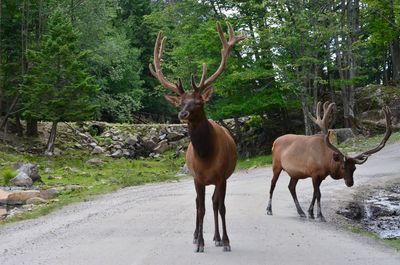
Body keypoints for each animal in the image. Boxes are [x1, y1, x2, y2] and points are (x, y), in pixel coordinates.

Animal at [149, 21, 244, 251]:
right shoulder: (197, 178)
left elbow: (221, 207)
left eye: (199, 102)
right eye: (181, 102)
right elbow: (200, 209)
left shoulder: (222, 177)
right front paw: (199, 242)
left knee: (215, 203)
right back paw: (196, 235)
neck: (206, 156)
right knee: (199, 204)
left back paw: (217, 237)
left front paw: (226, 241)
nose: (182, 114)